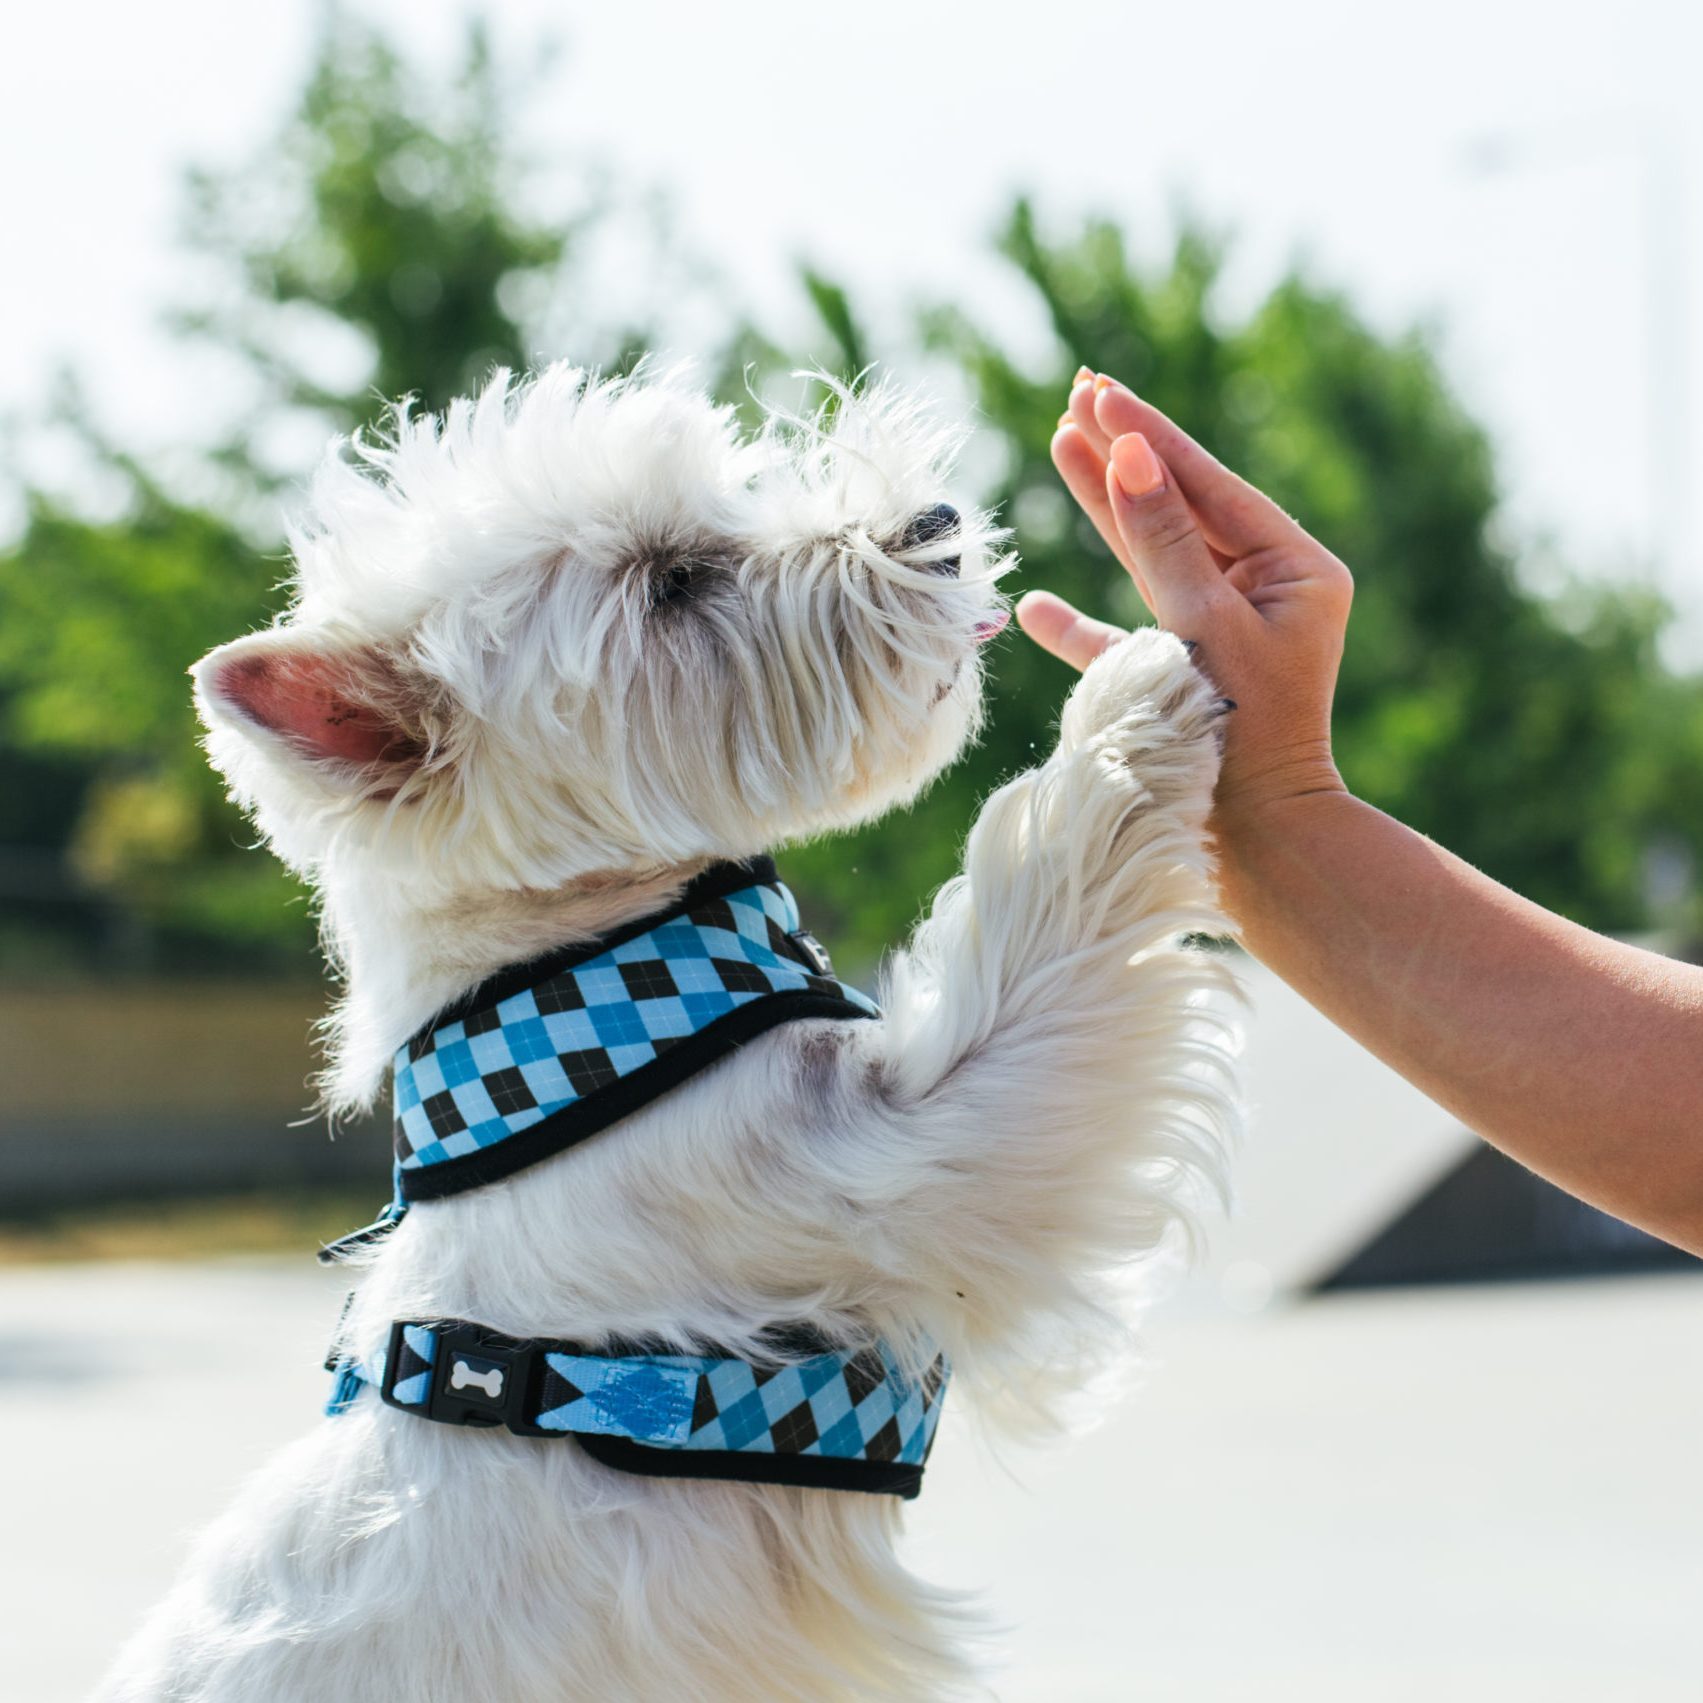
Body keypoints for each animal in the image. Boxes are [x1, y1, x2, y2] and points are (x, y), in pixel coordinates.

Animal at [96, 366, 1239, 1696]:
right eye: (672, 582)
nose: (936, 522)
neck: (587, 996)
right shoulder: (895, 1158)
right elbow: (1037, 918)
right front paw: (1133, 697)